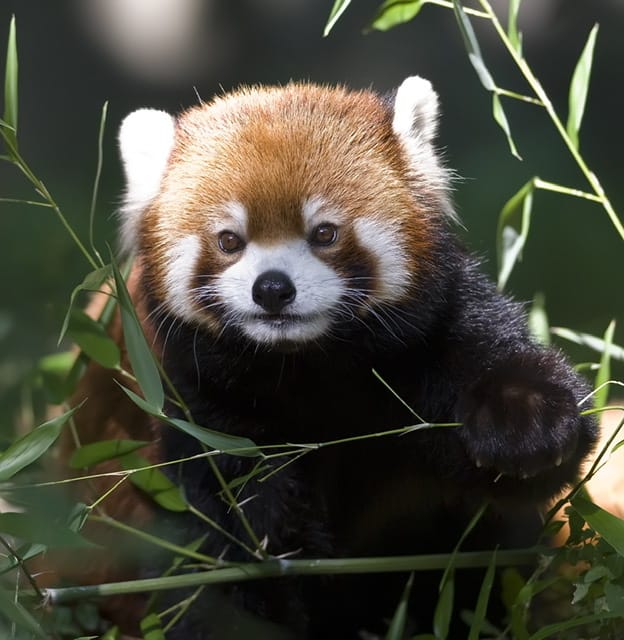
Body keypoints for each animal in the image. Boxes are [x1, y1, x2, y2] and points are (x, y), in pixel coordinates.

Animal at [61, 80, 596, 640]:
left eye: (324, 233)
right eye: (229, 240)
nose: (273, 289)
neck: (307, 364)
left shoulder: (437, 332)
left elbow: (518, 451)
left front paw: (524, 419)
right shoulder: (192, 400)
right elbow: (213, 544)